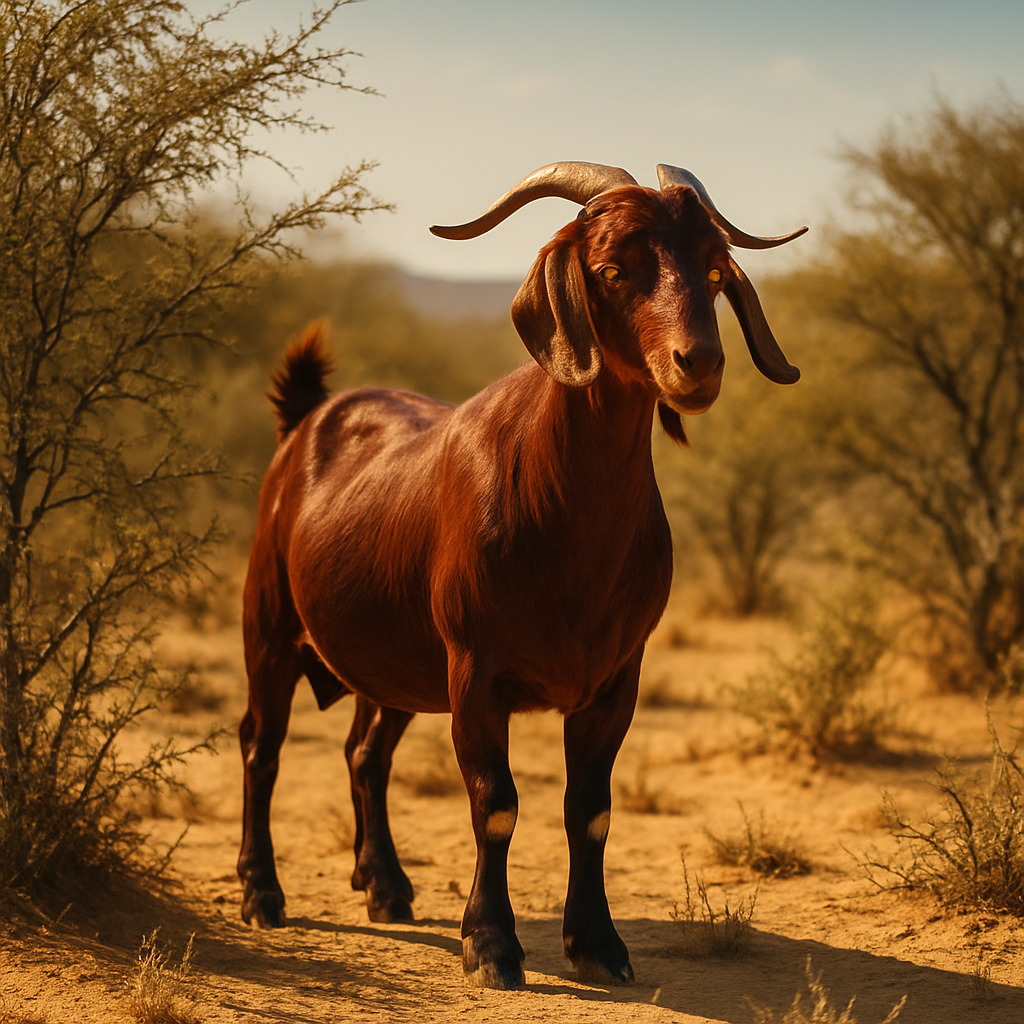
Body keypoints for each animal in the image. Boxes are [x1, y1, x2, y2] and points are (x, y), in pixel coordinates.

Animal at [237, 161, 805, 989]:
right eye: (613, 269)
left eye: (711, 268)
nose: (699, 363)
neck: (565, 522)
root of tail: (306, 419)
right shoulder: (476, 674)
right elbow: (494, 803)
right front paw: (492, 946)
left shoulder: (614, 680)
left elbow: (590, 810)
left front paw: (597, 944)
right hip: (271, 629)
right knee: (262, 744)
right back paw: (262, 893)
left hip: (398, 666)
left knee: (365, 753)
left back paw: (385, 885)